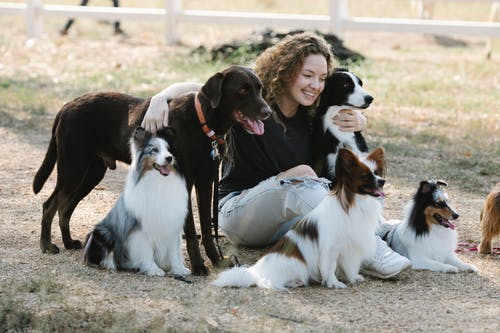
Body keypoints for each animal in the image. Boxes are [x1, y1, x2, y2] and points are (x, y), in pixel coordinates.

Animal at [33, 65, 272, 274]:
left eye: (259, 88)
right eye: (243, 90)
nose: (268, 111)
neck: (202, 121)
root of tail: (66, 106)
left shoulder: (205, 181)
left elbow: (205, 227)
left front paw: (216, 261)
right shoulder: (185, 182)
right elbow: (191, 232)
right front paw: (197, 266)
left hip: (90, 174)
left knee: (65, 207)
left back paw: (67, 241)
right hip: (73, 169)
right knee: (50, 205)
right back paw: (47, 245)